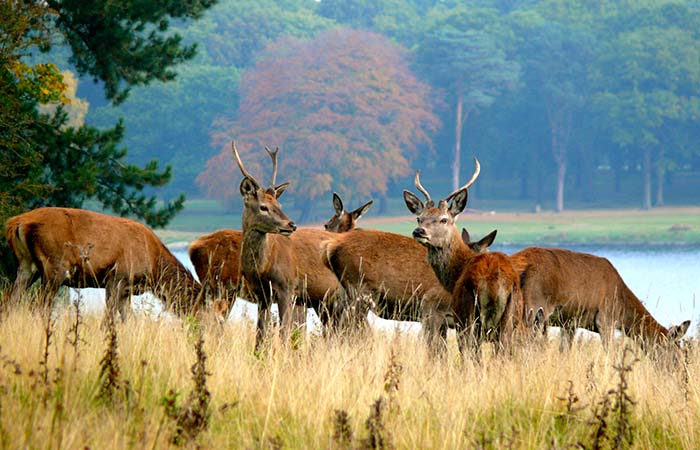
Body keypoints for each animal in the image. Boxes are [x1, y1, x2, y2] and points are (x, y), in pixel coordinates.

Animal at [4, 207, 202, 322]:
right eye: (203, 305)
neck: (153, 269)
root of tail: (16, 223)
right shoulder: (118, 277)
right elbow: (109, 316)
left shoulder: (126, 288)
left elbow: (129, 319)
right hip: (55, 266)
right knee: (38, 305)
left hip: (26, 265)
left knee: (10, 299)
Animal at [230, 141, 350, 350]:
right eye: (263, 207)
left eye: (279, 204)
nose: (291, 225)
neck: (263, 267)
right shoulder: (261, 294)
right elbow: (260, 335)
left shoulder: (287, 286)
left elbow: (284, 333)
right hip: (326, 301)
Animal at [403, 161, 524, 358]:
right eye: (419, 218)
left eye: (444, 219)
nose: (419, 231)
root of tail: (495, 283)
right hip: (508, 320)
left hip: (468, 316)